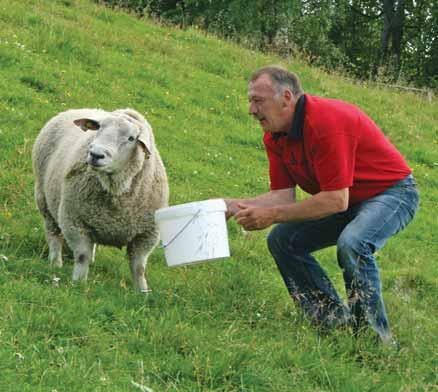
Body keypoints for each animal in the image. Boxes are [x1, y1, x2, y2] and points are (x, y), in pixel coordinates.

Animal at [31, 108, 169, 292]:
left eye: (131, 138)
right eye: (99, 128)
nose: (96, 154)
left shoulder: (147, 234)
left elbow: (139, 267)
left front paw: (142, 292)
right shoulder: (74, 221)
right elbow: (82, 256)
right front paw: (79, 283)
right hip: (43, 197)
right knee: (53, 232)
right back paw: (55, 262)